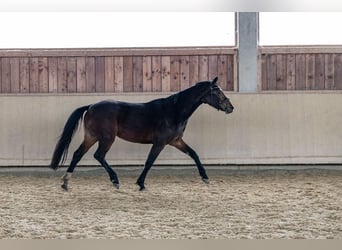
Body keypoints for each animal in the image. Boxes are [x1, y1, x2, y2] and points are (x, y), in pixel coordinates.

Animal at [49, 77, 234, 190]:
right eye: (217, 91)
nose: (230, 107)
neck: (174, 110)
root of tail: (91, 106)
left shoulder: (176, 141)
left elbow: (194, 154)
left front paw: (205, 177)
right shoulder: (160, 143)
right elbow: (149, 162)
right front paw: (141, 183)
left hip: (91, 137)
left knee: (77, 154)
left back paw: (65, 183)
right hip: (107, 138)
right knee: (99, 155)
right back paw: (115, 180)